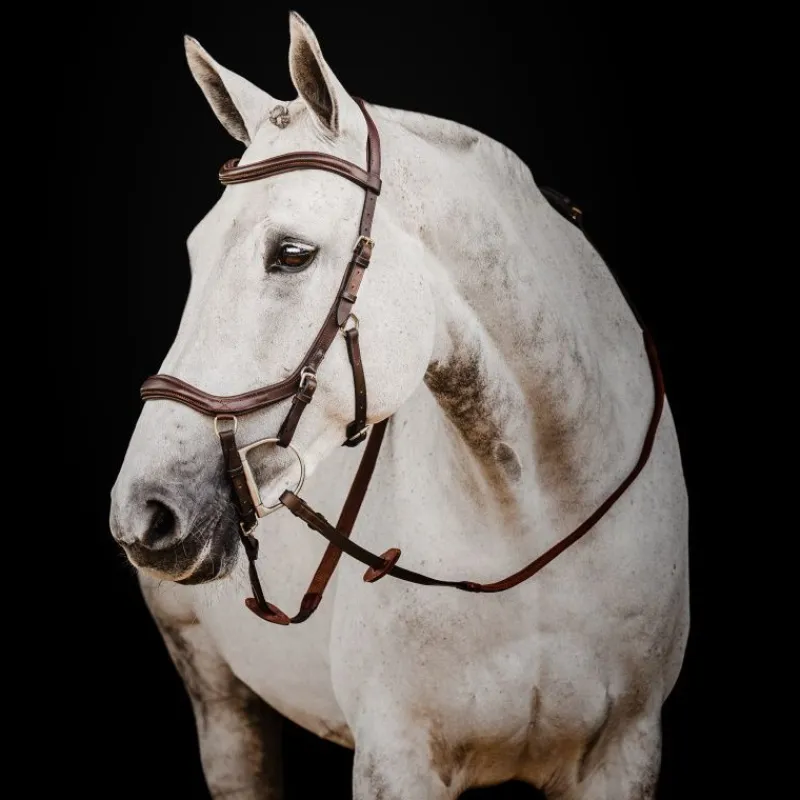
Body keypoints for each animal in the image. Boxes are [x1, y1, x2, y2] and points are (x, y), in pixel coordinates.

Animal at [109, 12, 689, 799]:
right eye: (196, 254)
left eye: (291, 254)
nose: (143, 511)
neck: (534, 520)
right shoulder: (397, 759)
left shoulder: (625, 753)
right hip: (216, 691)